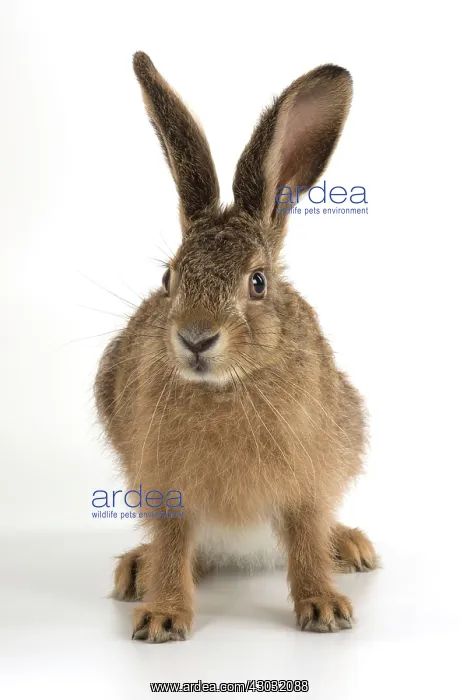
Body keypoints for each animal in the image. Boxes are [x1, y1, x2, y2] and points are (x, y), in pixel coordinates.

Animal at [95, 51, 378, 643]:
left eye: (258, 282)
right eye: (169, 278)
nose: (196, 337)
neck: (225, 387)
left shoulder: (307, 479)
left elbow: (305, 538)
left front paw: (324, 608)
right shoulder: (168, 489)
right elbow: (174, 547)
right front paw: (162, 615)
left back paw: (351, 547)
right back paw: (137, 569)